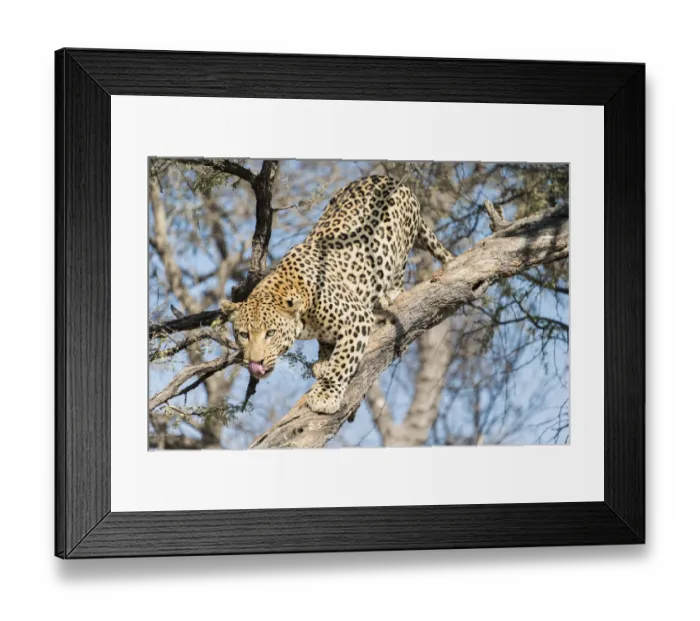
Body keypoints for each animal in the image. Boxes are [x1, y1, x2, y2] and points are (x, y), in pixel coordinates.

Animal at [220, 174, 454, 414]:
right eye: (243, 335)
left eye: (271, 333)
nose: (255, 363)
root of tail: (391, 179)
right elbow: (327, 344)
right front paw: (324, 359)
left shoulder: (357, 317)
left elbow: (342, 361)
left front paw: (326, 394)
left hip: (399, 245)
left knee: (399, 272)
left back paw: (389, 294)